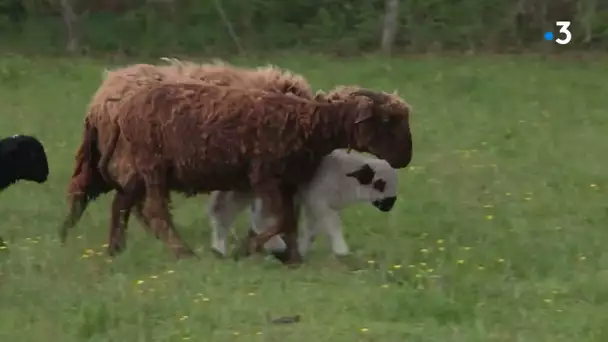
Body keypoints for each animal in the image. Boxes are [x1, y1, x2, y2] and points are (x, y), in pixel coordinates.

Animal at [59, 58, 314, 243]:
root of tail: (99, 101)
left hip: (103, 160)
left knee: (84, 190)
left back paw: (68, 237)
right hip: (129, 162)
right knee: (135, 206)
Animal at [208, 150, 400, 260]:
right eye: (379, 184)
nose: (389, 207)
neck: (343, 178)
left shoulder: (315, 204)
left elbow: (312, 229)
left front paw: (303, 249)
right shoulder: (318, 199)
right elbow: (332, 224)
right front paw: (341, 250)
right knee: (227, 211)